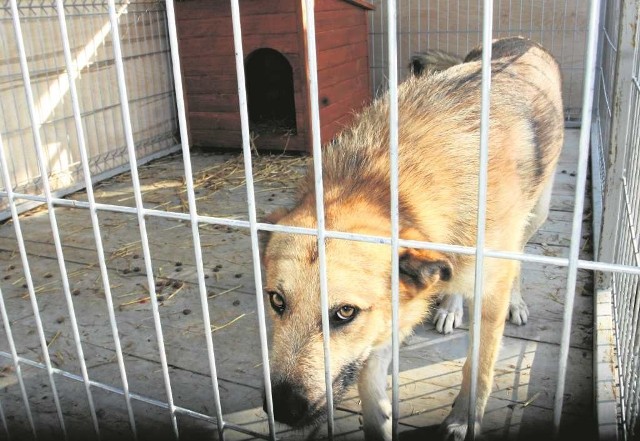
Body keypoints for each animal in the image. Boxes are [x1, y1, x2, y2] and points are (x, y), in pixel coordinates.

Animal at [258, 36, 560, 438]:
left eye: (344, 313)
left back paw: (514, 300)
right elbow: (370, 384)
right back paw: (450, 306)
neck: (385, 185)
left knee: (520, 256)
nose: (283, 409)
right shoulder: (388, 319)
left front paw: (464, 419)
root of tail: (519, 40)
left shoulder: (487, 296)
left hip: (536, 214)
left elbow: (478, 368)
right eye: (276, 301)